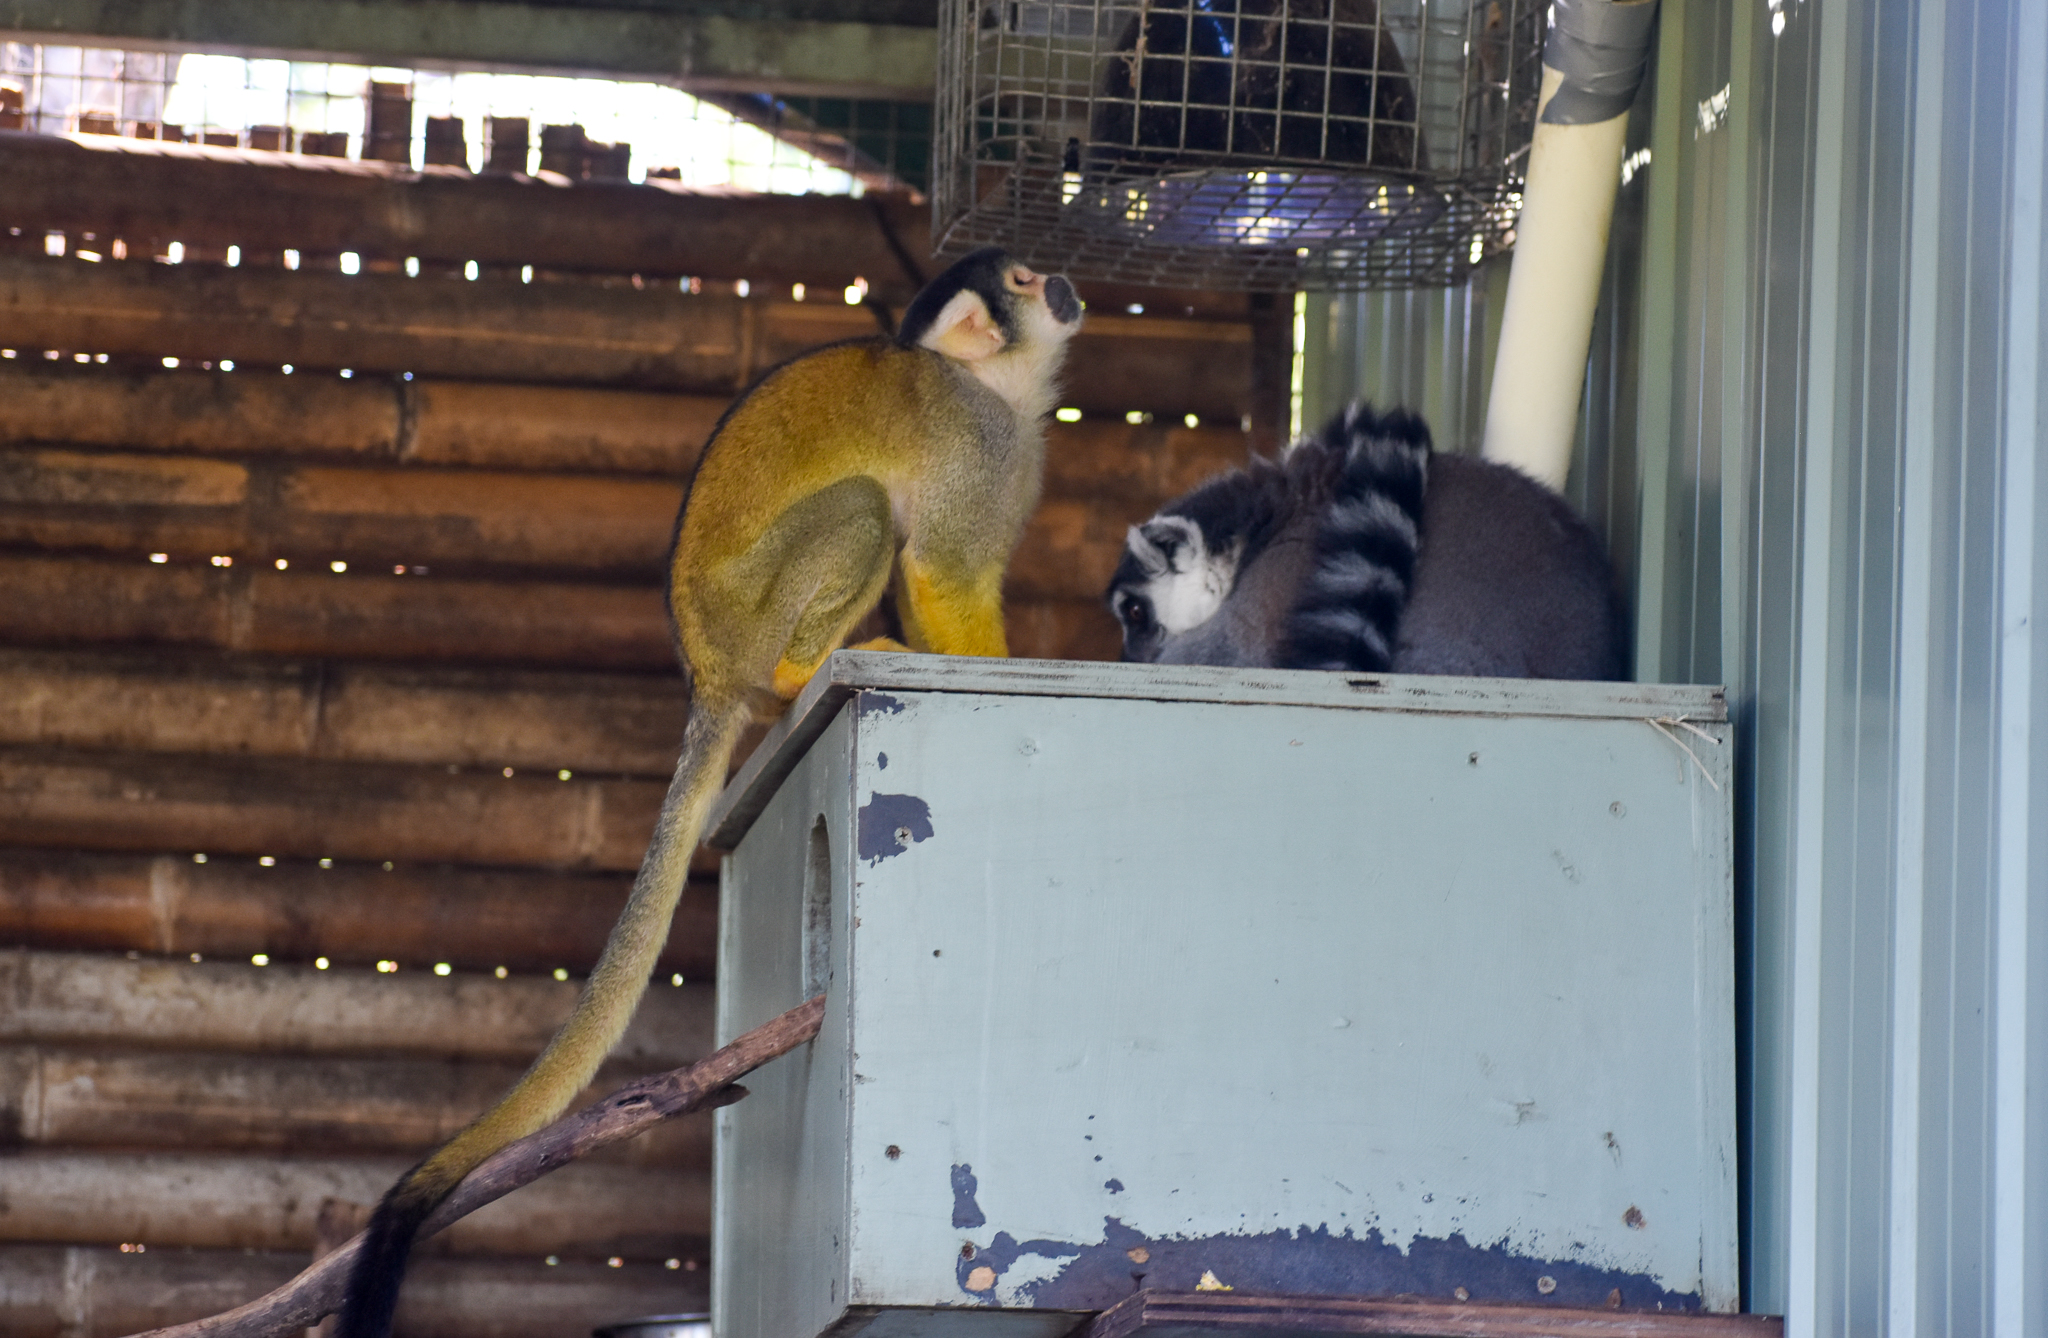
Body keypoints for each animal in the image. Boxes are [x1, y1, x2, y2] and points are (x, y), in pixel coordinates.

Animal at [338, 247, 1084, 1338]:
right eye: (1025, 280)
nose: (1064, 284)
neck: (993, 386)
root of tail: (707, 674)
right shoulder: (975, 435)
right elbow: (944, 569)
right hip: (750, 613)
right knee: (866, 507)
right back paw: (796, 675)